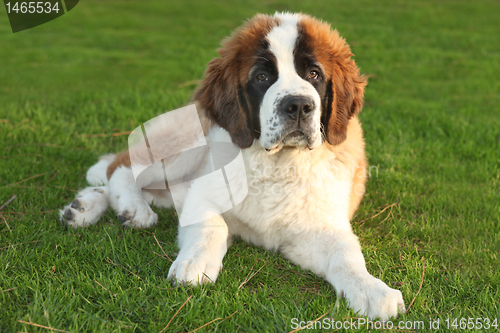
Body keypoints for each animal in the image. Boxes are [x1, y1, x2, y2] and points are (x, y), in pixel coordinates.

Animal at [58, 13, 404, 320]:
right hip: (187, 140)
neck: (277, 163)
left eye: (314, 74)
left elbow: (345, 254)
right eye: (262, 77)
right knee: (122, 166)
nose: (298, 106)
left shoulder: (319, 226)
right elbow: (213, 225)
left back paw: (84, 206)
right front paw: (195, 263)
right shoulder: (202, 195)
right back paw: (133, 208)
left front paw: (371, 289)